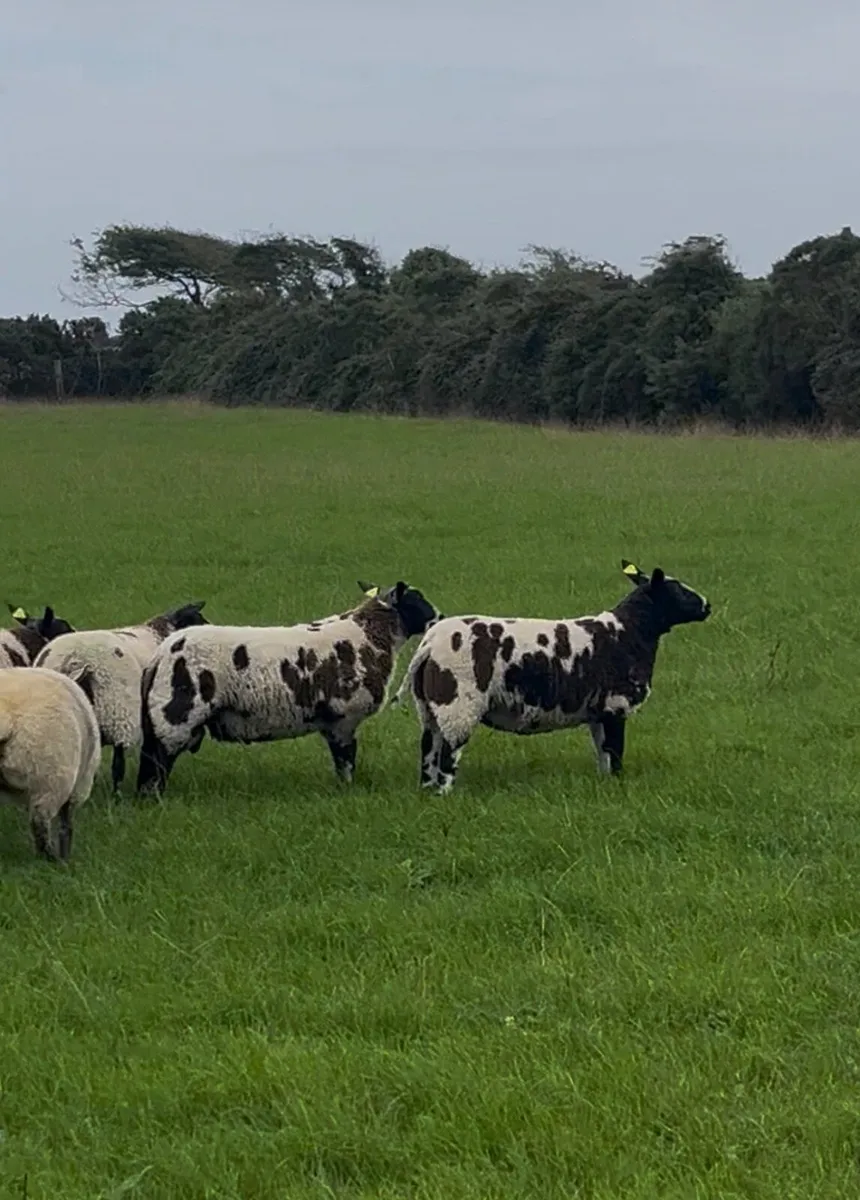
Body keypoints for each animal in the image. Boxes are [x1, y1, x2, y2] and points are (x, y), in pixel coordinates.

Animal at [0, 666, 101, 861]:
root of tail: (5, 718)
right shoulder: (78, 788)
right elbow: (65, 825)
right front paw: (66, 856)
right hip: (50, 778)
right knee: (40, 823)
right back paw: (52, 860)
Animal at [136, 581, 443, 796]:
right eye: (416, 600)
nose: (440, 617)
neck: (368, 636)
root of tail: (161, 654)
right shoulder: (344, 719)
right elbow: (346, 761)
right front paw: (348, 790)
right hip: (175, 715)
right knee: (155, 763)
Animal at [396, 560, 711, 793]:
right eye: (679, 591)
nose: (707, 605)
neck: (630, 632)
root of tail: (428, 644)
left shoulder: (598, 712)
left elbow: (603, 753)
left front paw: (606, 782)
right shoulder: (615, 705)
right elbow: (616, 751)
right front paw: (619, 783)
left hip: (429, 707)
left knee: (428, 749)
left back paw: (428, 790)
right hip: (458, 704)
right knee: (448, 755)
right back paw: (445, 793)